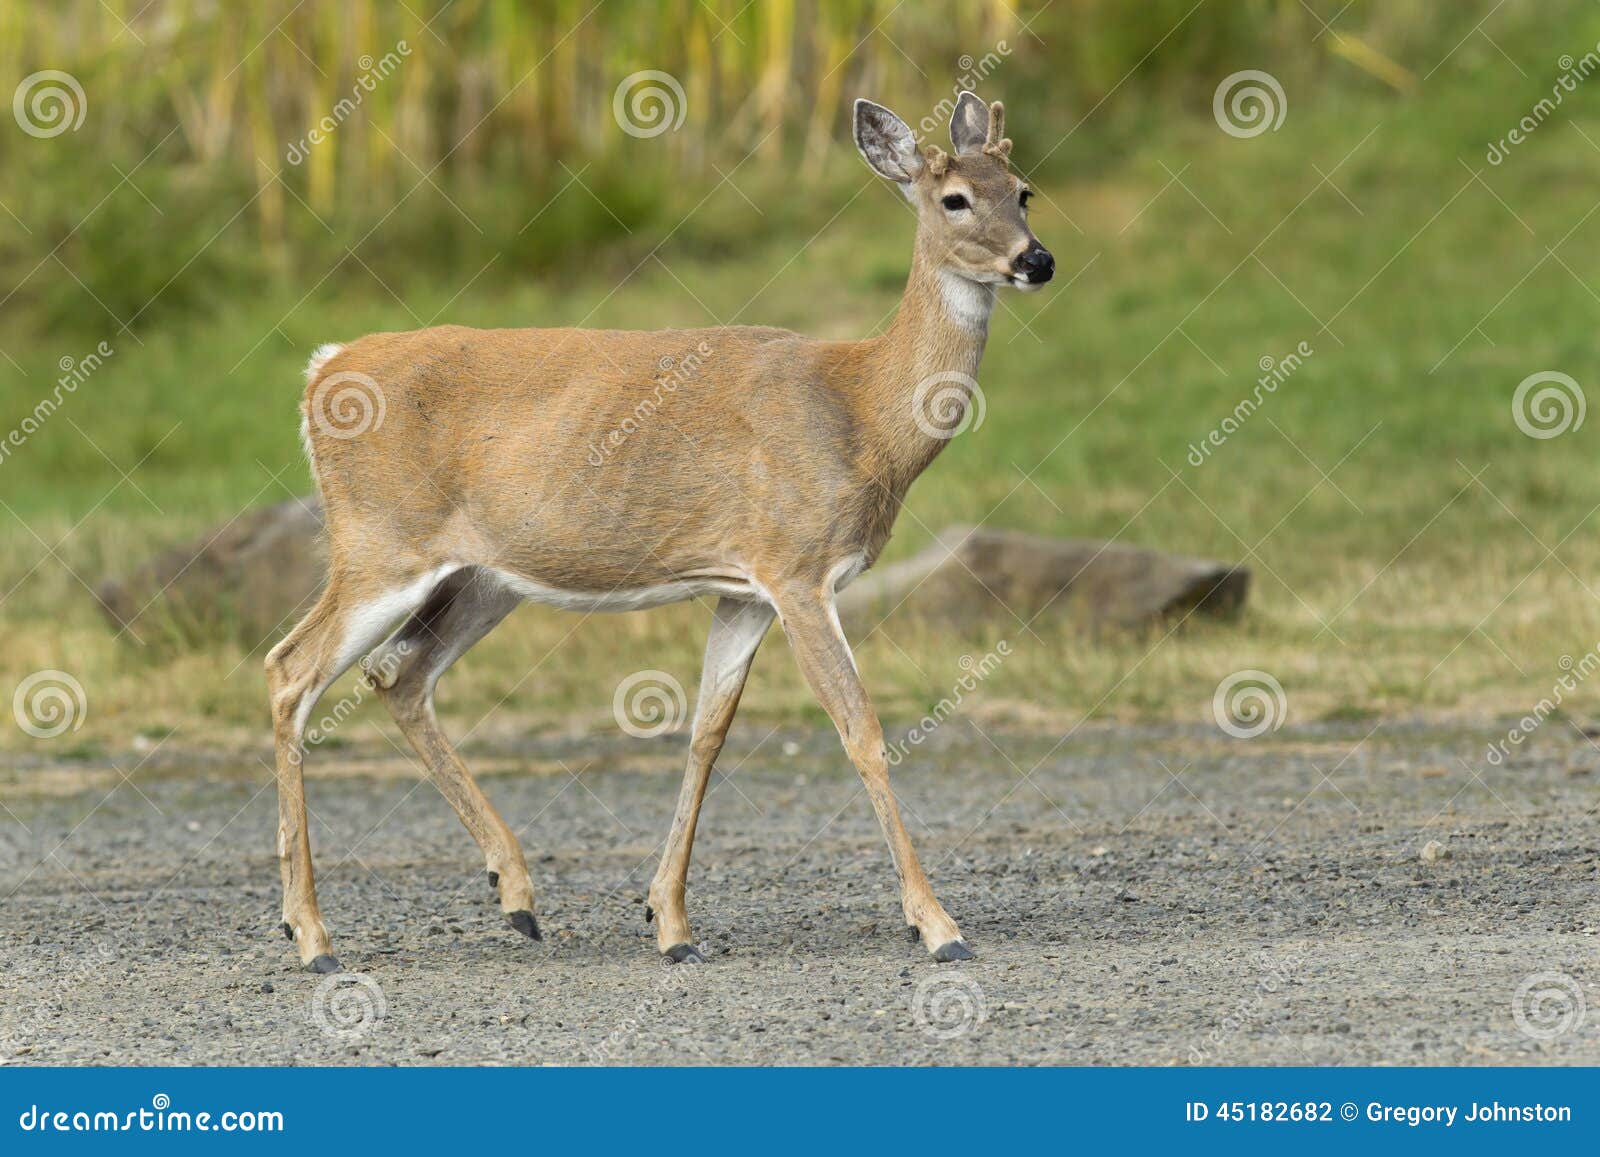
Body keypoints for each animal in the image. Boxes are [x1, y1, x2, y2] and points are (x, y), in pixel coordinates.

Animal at [265, 91, 1053, 973]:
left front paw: (670, 921)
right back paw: (312, 936)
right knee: (290, 670)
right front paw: (939, 925)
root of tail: (323, 367)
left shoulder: (745, 587)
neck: (861, 410)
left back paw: (516, 894)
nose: (1037, 260)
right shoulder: (797, 567)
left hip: (482, 575)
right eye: (954, 199)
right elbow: (862, 730)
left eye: (1024, 190)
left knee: (398, 673)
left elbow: (706, 732)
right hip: (380, 542)